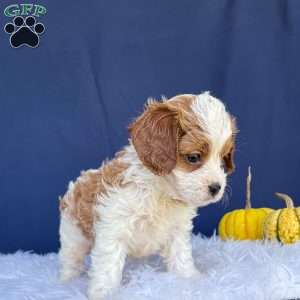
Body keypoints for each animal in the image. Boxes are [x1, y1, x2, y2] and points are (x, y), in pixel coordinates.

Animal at [58, 92, 237, 300]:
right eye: (193, 157)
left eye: (223, 160)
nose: (217, 187)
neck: (161, 191)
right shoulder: (113, 227)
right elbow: (108, 266)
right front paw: (104, 292)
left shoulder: (177, 230)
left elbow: (181, 256)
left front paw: (189, 279)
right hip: (73, 234)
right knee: (71, 260)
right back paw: (66, 280)